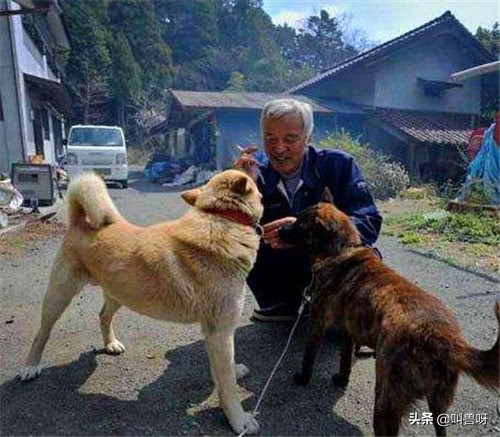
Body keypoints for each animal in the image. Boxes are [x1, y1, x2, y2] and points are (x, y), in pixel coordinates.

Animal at [17, 169, 264, 434]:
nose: (253, 164)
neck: (220, 216)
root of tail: (79, 221)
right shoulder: (221, 332)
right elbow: (227, 386)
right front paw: (238, 420)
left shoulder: (215, 332)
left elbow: (222, 372)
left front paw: (233, 373)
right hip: (59, 296)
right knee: (42, 333)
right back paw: (30, 366)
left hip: (118, 293)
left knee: (103, 316)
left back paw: (111, 344)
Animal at [280, 203, 498, 434]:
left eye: (299, 223)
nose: (279, 230)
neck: (341, 250)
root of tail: (441, 336)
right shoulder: (348, 331)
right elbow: (345, 359)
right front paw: (342, 379)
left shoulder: (318, 320)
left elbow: (309, 355)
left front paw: (303, 377)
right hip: (438, 406)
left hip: (386, 399)